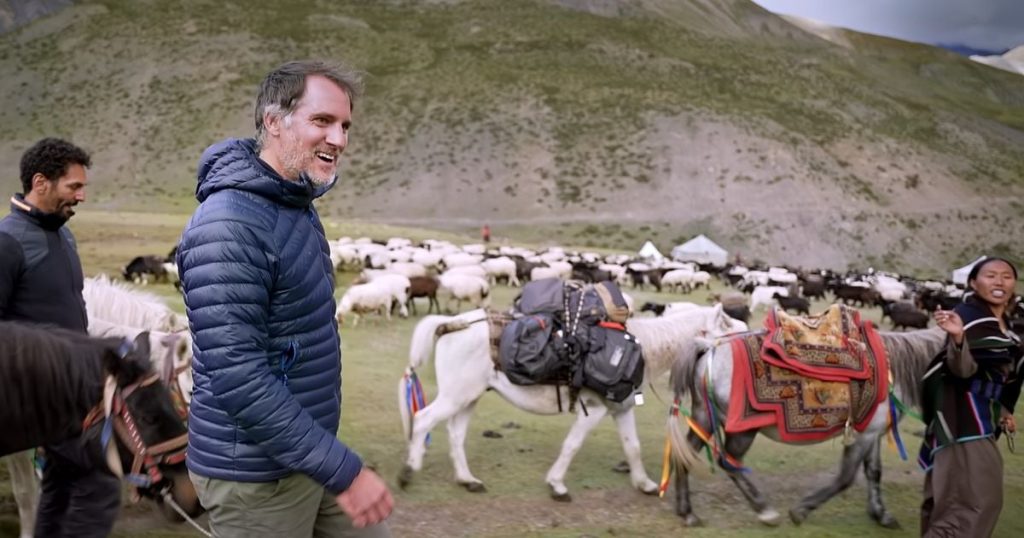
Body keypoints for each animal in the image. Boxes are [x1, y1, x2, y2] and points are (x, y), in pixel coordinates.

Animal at [397, 305, 745, 500]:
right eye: (730, 328)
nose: (750, 335)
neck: (637, 347)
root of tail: (449, 323)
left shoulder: (621, 409)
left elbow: (632, 447)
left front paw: (645, 484)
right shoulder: (594, 410)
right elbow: (572, 444)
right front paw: (557, 486)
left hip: (467, 396)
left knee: (456, 434)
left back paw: (467, 480)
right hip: (456, 395)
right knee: (424, 419)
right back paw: (408, 471)